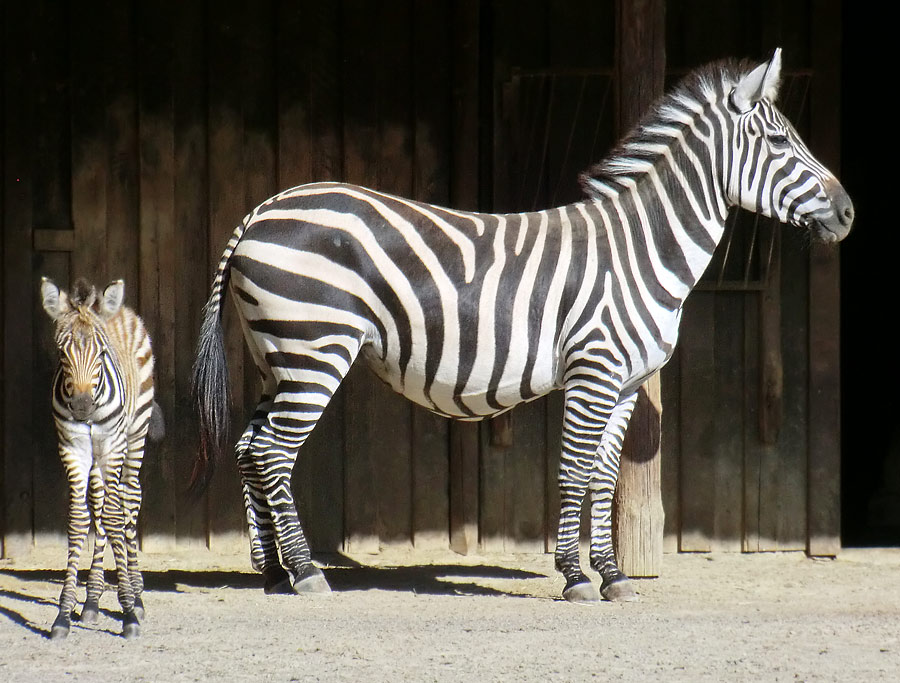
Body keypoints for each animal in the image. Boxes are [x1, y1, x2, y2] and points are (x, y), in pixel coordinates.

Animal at [40, 276, 160, 640]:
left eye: (102, 353)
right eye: (61, 352)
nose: (81, 407)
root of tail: (119, 310)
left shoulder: (112, 445)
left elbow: (114, 516)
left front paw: (129, 610)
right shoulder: (74, 449)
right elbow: (81, 520)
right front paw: (64, 613)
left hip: (133, 436)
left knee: (127, 501)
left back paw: (136, 594)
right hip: (96, 458)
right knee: (101, 503)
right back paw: (92, 601)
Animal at [190, 49, 852, 604]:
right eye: (778, 139)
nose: (848, 213)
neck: (642, 249)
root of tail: (261, 209)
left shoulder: (627, 383)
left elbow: (605, 477)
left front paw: (613, 577)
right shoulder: (594, 369)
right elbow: (576, 468)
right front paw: (576, 577)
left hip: (277, 355)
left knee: (249, 446)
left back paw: (272, 573)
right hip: (316, 346)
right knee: (273, 450)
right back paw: (305, 573)